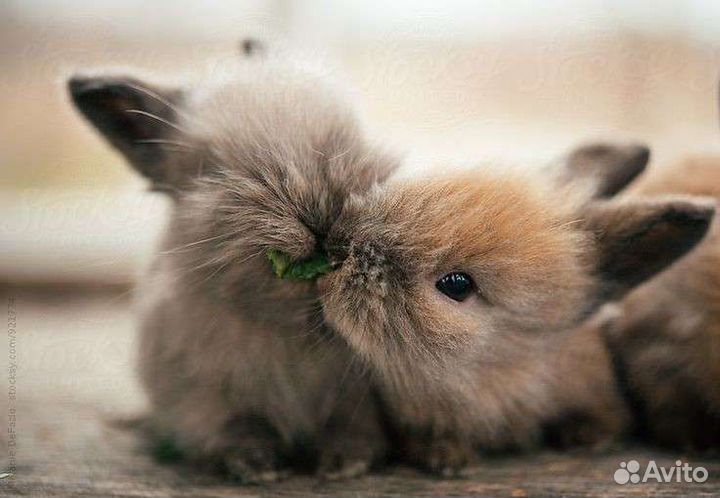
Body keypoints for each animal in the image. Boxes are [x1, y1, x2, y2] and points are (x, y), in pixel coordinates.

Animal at [67, 42, 400, 481]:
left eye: (346, 136)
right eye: (215, 170)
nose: (321, 216)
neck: (289, 323)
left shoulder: (358, 392)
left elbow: (351, 421)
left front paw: (346, 461)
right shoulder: (202, 394)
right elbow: (234, 425)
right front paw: (257, 465)